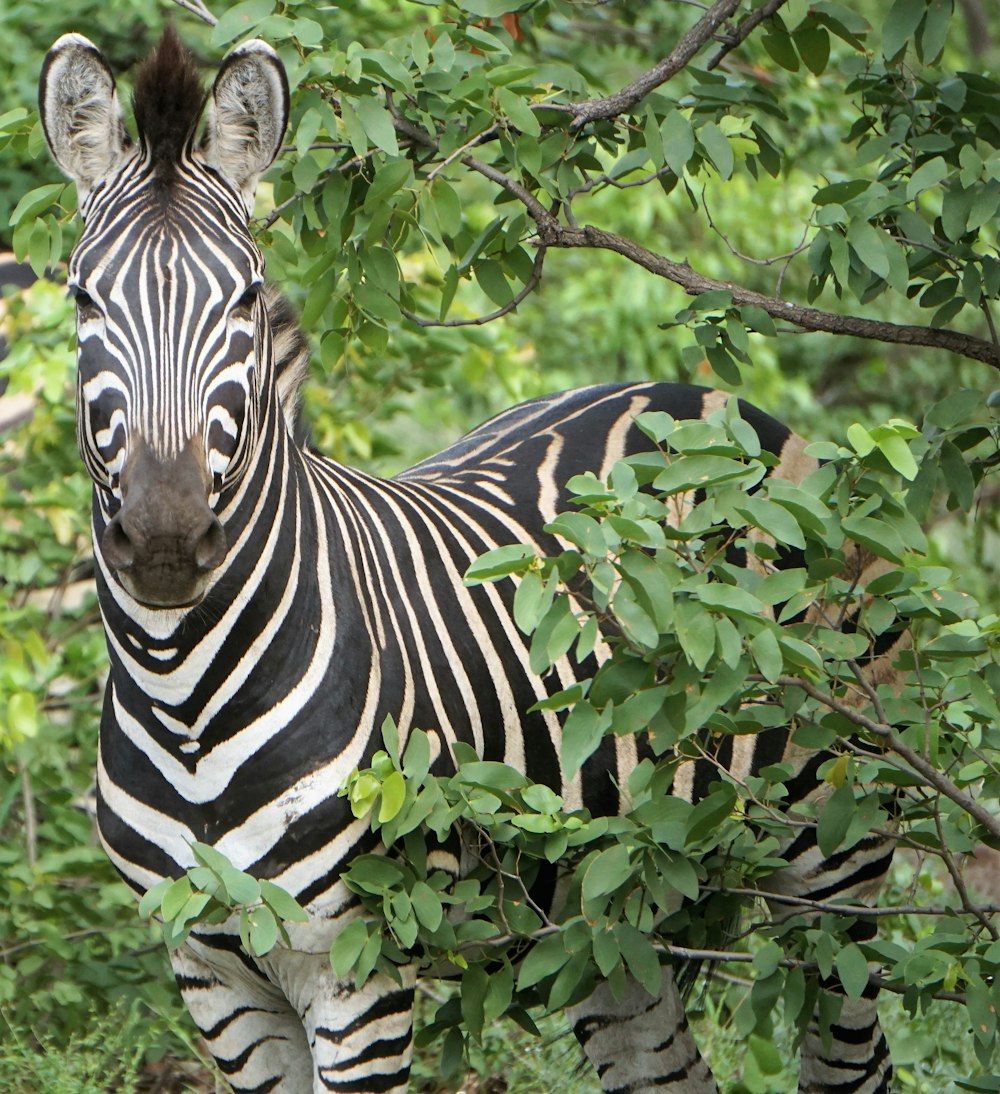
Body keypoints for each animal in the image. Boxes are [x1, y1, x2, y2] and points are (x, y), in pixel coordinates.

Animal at [42, 25, 892, 1094]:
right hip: (606, 909)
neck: (185, 697)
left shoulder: (358, 967)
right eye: (83, 297)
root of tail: (708, 402)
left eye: (244, 296)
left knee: (854, 1049)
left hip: (837, 851)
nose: (162, 537)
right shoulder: (213, 978)